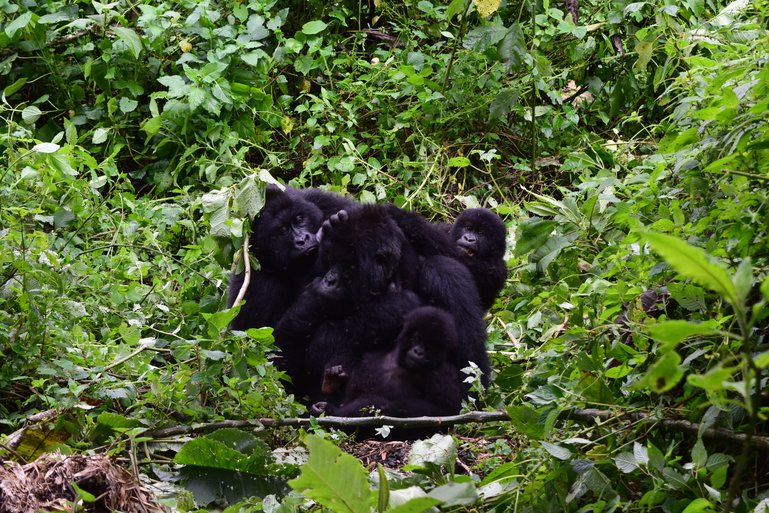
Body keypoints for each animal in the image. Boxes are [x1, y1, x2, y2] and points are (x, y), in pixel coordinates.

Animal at [225, 186, 352, 330]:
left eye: (299, 219)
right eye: (283, 230)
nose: (302, 240)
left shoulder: (324, 201)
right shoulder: (255, 281)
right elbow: (264, 332)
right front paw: (319, 295)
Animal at [312, 304, 462, 416]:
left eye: (430, 345)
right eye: (416, 338)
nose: (418, 352)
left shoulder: (442, 372)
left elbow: (444, 410)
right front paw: (336, 378)